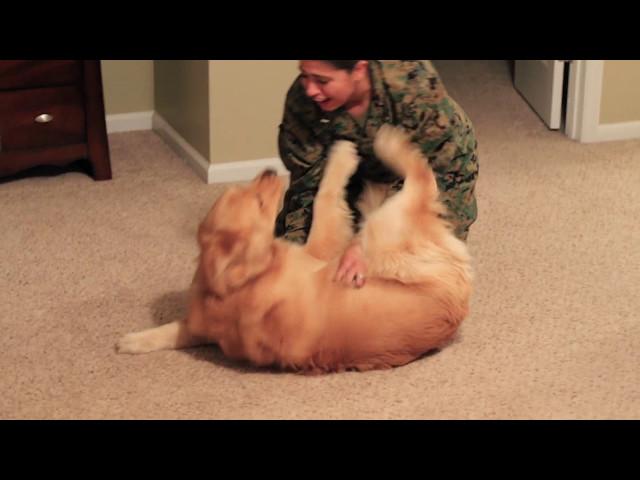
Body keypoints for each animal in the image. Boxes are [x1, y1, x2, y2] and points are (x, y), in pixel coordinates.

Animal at [117, 125, 472, 374]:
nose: (270, 171)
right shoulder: (318, 249)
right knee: (420, 176)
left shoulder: (203, 325)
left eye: (244, 189)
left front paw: (131, 340)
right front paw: (342, 155)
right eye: (259, 203)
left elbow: (170, 330)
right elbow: (325, 197)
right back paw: (387, 145)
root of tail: (458, 303)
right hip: (387, 233)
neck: (239, 282)